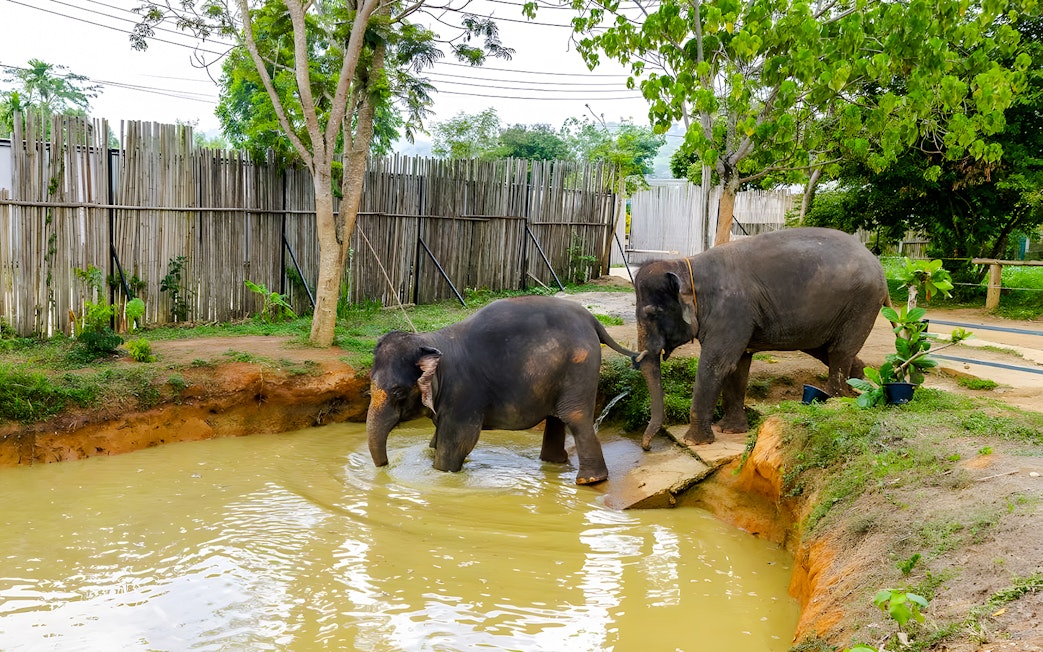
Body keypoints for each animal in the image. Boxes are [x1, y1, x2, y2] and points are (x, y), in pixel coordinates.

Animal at [366, 295, 640, 484]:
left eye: (398, 392)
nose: (386, 466)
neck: (432, 340)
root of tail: (592, 320)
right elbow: (437, 439)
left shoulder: (463, 394)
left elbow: (458, 442)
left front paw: (441, 474)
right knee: (557, 417)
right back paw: (554, 463)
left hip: (580, 366)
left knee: (575, 416)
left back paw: (589, 481)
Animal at [633, 227, 889, 449]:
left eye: (652, 314)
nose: (647, 446)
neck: (688, 266)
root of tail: (878, 264)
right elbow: (737, 365)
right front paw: (730, 430)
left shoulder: (732, 310)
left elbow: (717, 365)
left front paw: (694, 442)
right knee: (830, 350)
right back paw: (861, 383)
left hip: (863, 303)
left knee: (839, 352)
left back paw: (837, 400)